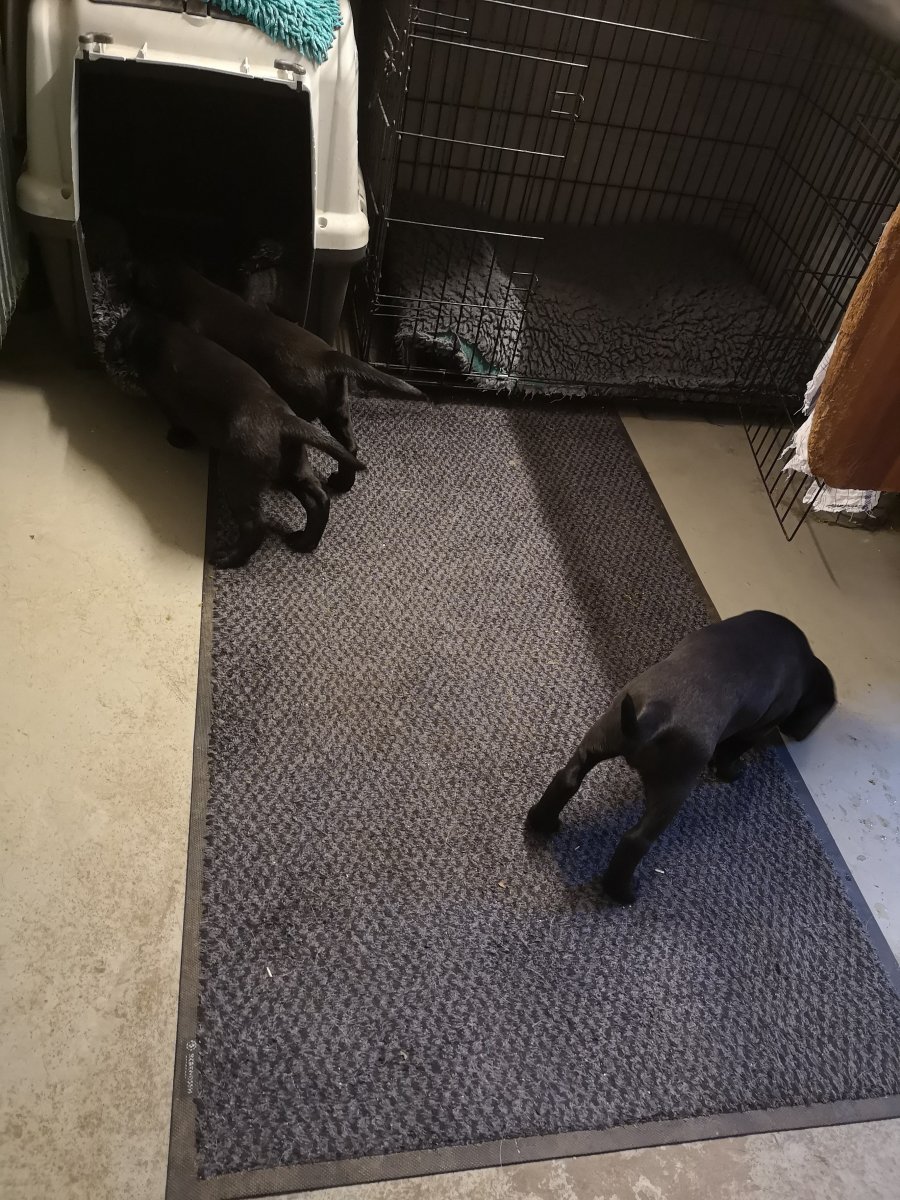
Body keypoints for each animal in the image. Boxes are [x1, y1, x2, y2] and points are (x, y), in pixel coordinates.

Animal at [105, 308, 366, 568]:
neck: (155, 331)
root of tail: (284, 420)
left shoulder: (166, 401)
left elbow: (177, 422)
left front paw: (177, 439)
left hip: (237, 475)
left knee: (255, 525)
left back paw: (228, 557)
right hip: (294, 465)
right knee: (319, 500)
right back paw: (304, 541)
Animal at [129, 259, 422, 495]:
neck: (195, 290)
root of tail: (327, 357)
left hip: (302, 405)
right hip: (336, 411)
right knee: (349, 447)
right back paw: (341, 483)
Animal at [526, 611, 836, 904]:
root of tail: (651, 717)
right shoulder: (758, 728)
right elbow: (732, 751)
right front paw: (732, 772)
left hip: (599, 738)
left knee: (567, 779)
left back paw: (542, 823)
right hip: (674, 787)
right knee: (636, 840)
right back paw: (622, 892)